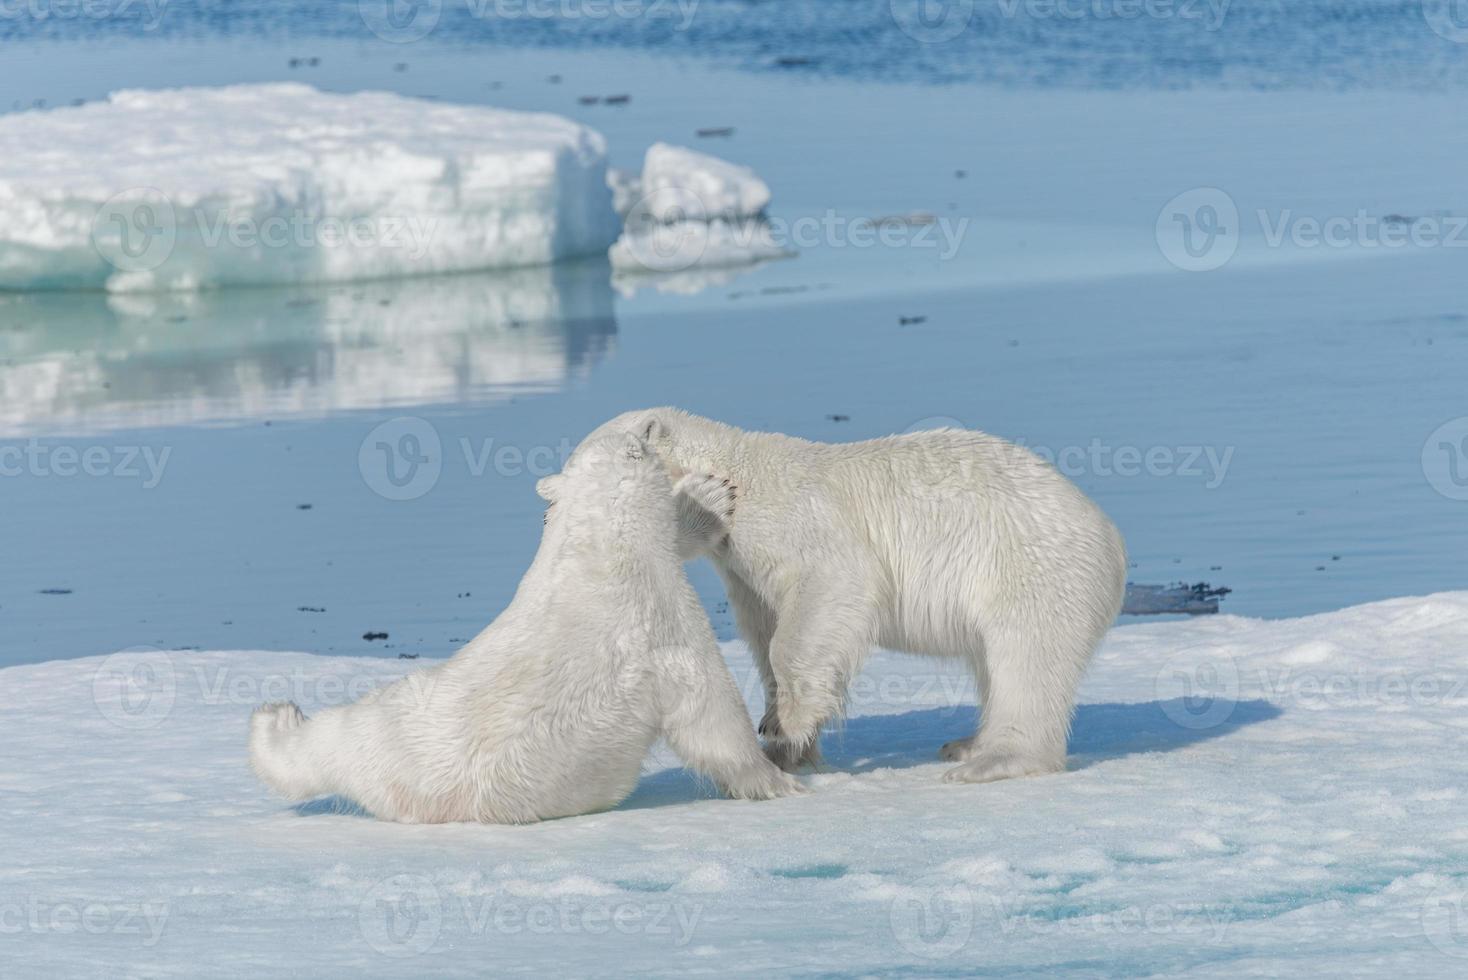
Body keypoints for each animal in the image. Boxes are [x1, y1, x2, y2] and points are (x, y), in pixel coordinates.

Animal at [251, 431, 804, 821]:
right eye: (643, 440)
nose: (647, 431)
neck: (593, 548)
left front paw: (711, 494)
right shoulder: (657, 618)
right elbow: (708, 711)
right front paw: (777, 780)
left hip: (373, 727)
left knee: (318, 745)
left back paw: (274, 718)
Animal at [581, 410, 1121, 786]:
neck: (734, 474)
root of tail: (1110, 537)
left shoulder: (791, 517)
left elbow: (831, 586)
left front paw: (788, 724)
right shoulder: (741, 567)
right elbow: (764, 626)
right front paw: (785, 743)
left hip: (1027, 566)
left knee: (1026, 659)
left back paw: (992, 760)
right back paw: (967, 744)